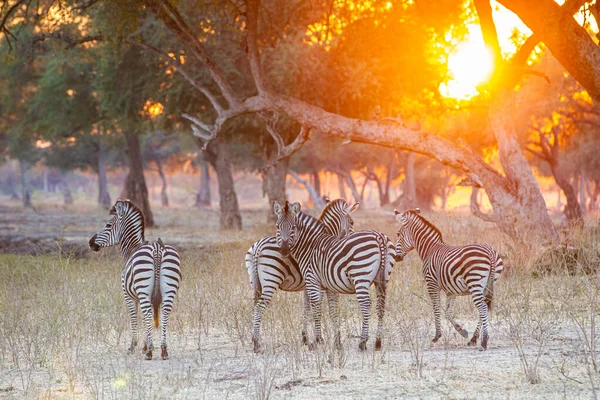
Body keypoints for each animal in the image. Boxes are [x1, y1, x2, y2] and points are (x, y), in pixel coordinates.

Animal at [87, 200, 180, 360]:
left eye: (108, 225)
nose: (91, 243)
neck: (133, 248)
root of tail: (157, 248)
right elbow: (146, 320)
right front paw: (145, 345)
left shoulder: (129, 296)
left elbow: (135, 318)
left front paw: (135, 346)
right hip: (169, 289)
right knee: (164, 314)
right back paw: (163, 350)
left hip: (143, 289)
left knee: (148, 313)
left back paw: (150, 352)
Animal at [245, 198, 356, 352]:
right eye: (352, 222)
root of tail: (258, 246)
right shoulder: (319, 284)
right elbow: (318, 308)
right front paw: (319, 339)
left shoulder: (307, 286)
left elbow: (306, 308)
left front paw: (306, 338)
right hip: (270, 280)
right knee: (259, 306)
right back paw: (256, 343)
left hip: (254, 282)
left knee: (254, 306)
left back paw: (255, 339)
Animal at [274, 200, 398, 350]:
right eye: (277, 226)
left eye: (293, 227)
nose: (284, 251)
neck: (310, 245)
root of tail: (379, 237)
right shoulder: (329, 286)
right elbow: (332, 310)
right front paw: (336, 341)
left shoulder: (313, 280)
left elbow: (316, 308)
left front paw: (318, 340)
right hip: (382, 278)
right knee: (381, 305)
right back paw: (378, 342)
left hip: (360, 277)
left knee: (366, 304)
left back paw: (363, 341)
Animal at [394, 209, 502, 350]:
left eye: (398, 234)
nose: (396, 257)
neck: (430, 249)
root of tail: (489, 251)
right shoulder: (452, 290)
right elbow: (448, 312)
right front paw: (462, 331)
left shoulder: (432, 284)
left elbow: (436, 309)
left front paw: (436, 337)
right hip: (487, 284)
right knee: (484, 308)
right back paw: (474, 339)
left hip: (475, 283)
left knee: (483, 307)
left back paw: (484, 342)